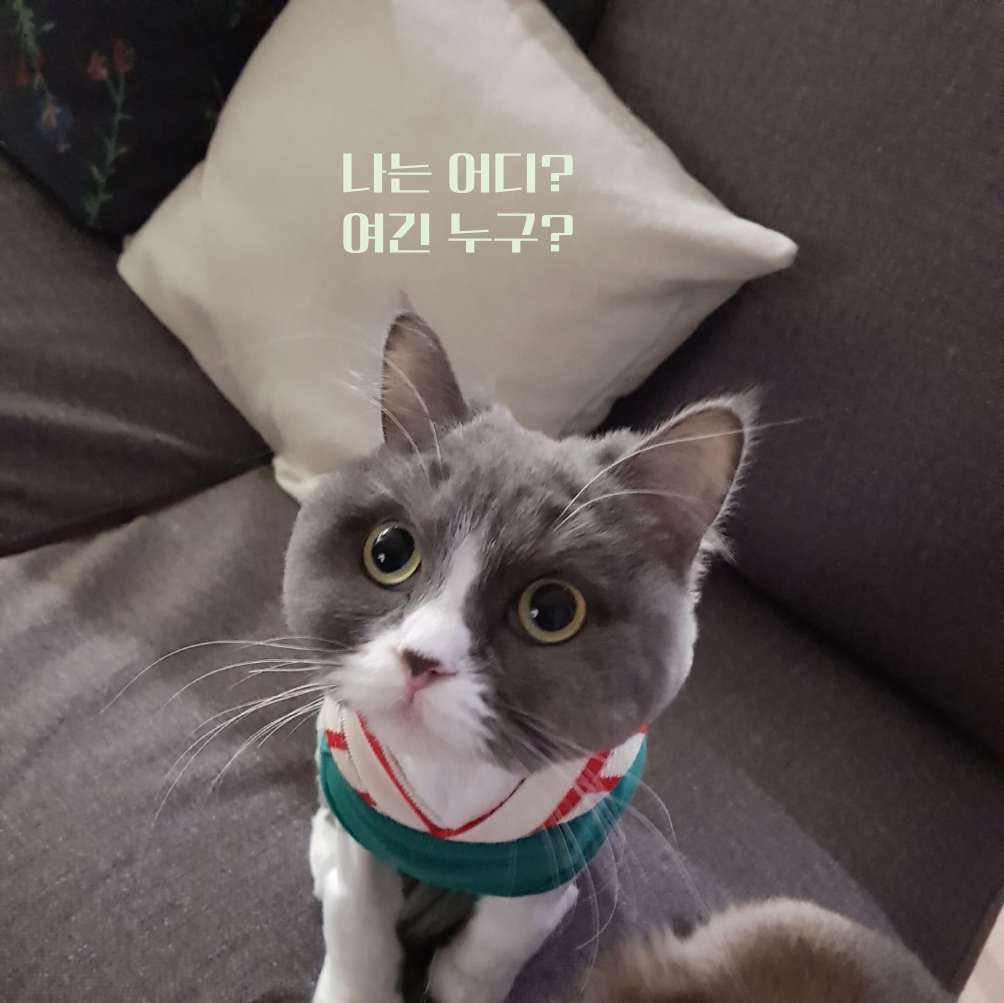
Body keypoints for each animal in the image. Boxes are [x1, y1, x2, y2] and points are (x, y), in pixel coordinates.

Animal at [282, 311, 753, 1003]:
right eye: (389, 551)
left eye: (551, 611)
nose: (422, 659)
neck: (446, 792)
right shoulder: (359, 816)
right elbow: (356, 921)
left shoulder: (556, 850)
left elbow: (505, 935)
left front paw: (459, 978)